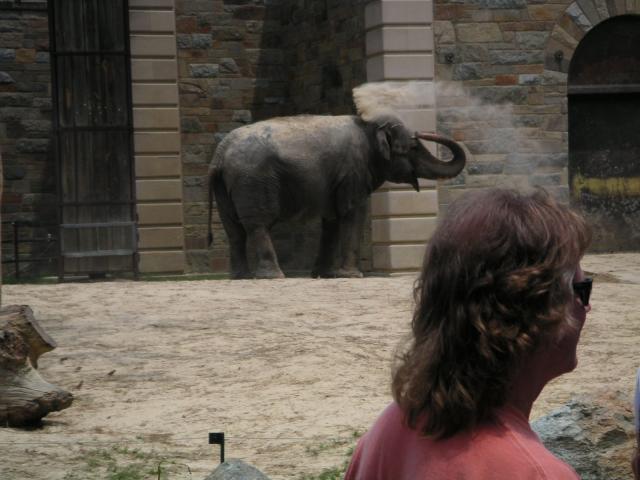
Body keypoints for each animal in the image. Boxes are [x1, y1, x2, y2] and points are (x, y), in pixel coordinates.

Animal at [207, 113, 466, 279]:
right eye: (413, 147)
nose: (421, 132)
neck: (368, 123)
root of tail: (220, 154)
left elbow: (331, 221)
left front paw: (325, 275)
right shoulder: (353, 171)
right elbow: (354, 212)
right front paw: (352, 276)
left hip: (227, 187)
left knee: (234, 231)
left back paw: (241, 277)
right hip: (254, 182)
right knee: (257, 226)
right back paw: (273, 277)